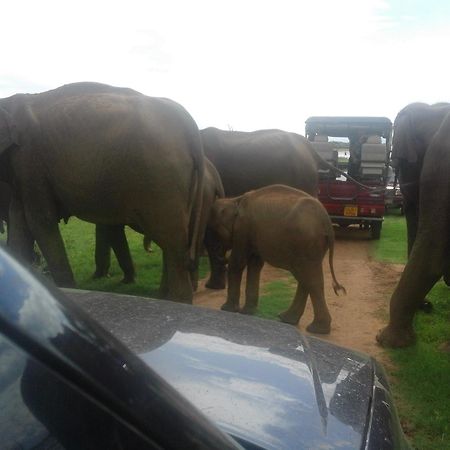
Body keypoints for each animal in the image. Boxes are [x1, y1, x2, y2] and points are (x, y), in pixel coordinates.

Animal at [0, 82, 204, 304]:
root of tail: (190, 126)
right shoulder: (21, 171)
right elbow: (19, 224)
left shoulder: (29, 162)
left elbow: (40, 222)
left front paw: (67, 291)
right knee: (171, 243)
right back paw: (163, 298)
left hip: (161, 178)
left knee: (173, 243)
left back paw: (177, 301)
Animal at [207, 183, 344, 334]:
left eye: (213, 230)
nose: (221, 253)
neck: (235, 200)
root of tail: (327, 222)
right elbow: (255, 264)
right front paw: (248, 312)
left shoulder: (242, 228)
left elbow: (237, 263)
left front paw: (227, 310)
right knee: (305, 278)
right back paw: (288, 319)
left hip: (305, 243)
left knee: (309, 278)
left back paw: (316, 329)